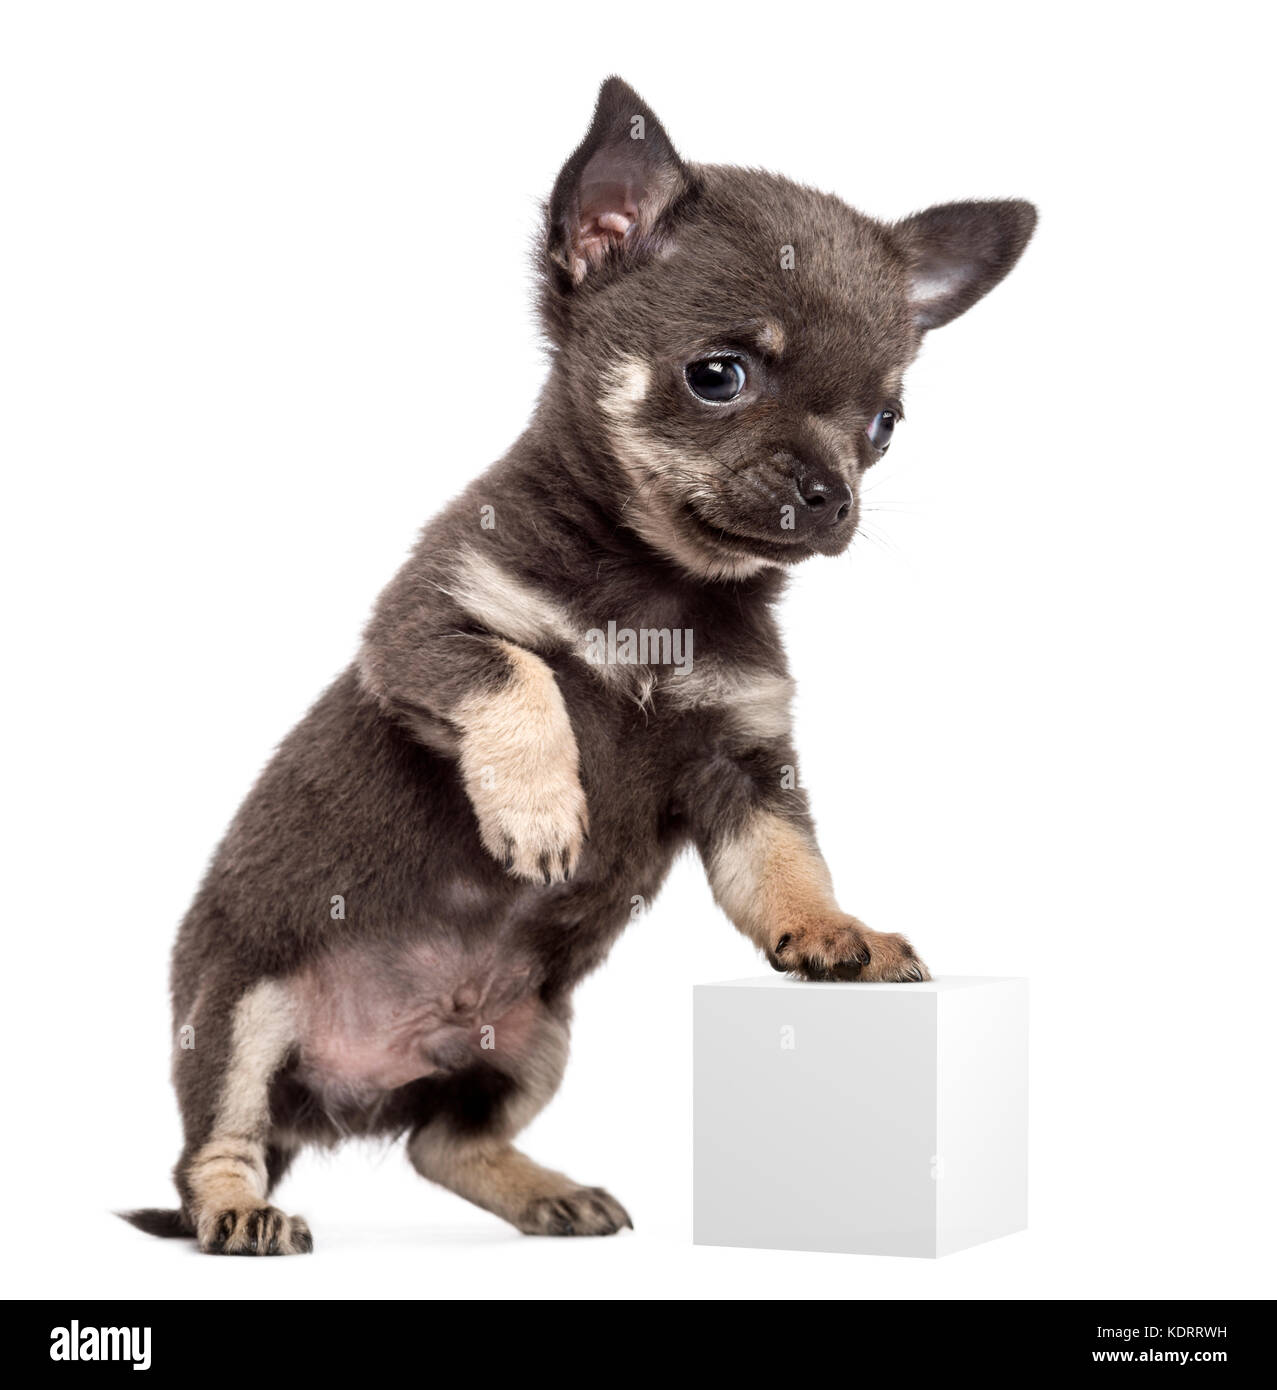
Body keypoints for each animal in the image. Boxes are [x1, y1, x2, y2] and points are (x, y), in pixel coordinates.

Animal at [122, 76, 1039, 1256]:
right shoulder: (425, 631)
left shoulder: (743, 764)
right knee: (213, 1151)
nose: (833, 495)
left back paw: (545, 1191)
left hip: (531, 1038)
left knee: (442, 1143)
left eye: (883, 425)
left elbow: (784, 863)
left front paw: (832, 929)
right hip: (240, 1016)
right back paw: (242, 1213)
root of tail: (345, 1099)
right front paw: (543, 811)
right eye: (718, 376)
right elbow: (522, 679)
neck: (657, 589)